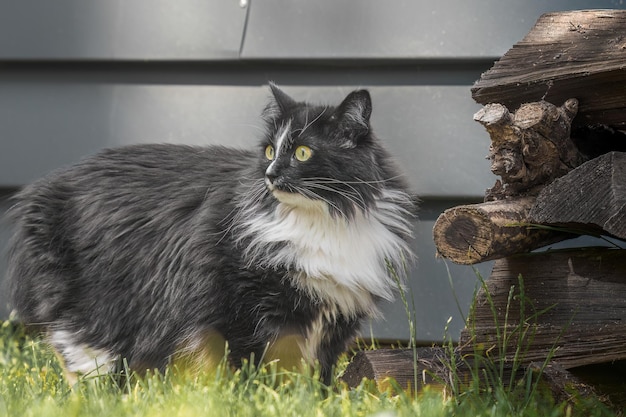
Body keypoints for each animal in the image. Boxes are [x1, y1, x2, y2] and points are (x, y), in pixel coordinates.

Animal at [6, 83, 414, 384]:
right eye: (270, 151)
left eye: (302, 152)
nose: (270, 175)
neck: (322, 220)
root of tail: (44, 186)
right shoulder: (244, 303)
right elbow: (256, 364)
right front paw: (258, 397)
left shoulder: (336, 315)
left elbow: (320, 374)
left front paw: (313, 399)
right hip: (86, 301)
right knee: (80, 354)